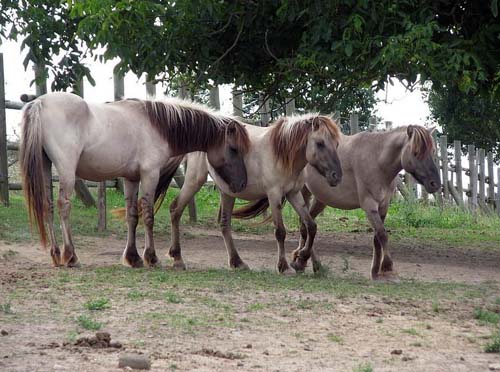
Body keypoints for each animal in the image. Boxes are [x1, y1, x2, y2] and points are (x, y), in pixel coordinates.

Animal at [19, 92, 250, 268]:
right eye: (233, 149)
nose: (241, 184)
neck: (158, 125)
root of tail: (39, 102)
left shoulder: (131, 179)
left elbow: (132, 216)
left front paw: (133, 258)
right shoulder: (150, 174)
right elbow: (148, 215)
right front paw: (151, 257)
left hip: (44, 165)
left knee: (47, 206)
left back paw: (55, 254)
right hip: (66, 170)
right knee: (63, 206)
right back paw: (70, 255)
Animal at [165, 113, 344, 274]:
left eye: (336, 144)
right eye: (320, 143)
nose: (336, 176)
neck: (282, 153)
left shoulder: (294, 194)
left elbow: (311, 226)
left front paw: (302, 259)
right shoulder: (274, 195)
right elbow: (280, 232)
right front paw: (284, 266)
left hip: (227, 191)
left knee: (224, 224)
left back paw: (237, 262)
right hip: (195, 180)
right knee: (175, 209)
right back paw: (177, 259)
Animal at [296, 125, 442, 280]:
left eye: (433, 151)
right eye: (416, 152)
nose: (435, 184)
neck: (377, 161)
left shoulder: (383, 206)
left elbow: (377, 238)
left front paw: (375, 271)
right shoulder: (369, 205)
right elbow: (382, 234)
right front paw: (387, 267)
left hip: (320, 199)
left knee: (305, 224)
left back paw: (308, 263)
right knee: (305, 224)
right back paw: (301, 261)